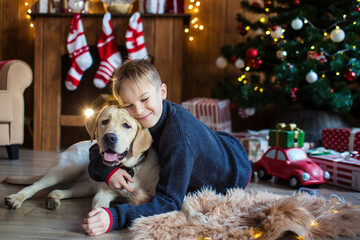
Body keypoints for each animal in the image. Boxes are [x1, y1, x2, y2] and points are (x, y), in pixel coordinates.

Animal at [3, 106, 205, 222]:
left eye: (127, 125)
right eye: (104, 122)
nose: (109, 137)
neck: (130, 169)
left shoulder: (164, 192)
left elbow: (182, 202)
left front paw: (195, 215)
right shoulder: (103, 194)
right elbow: (99, 207)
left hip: (83, 187)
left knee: (59, 190)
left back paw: (53, 199)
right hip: (66, 169)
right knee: (35, 185)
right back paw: (15, 199)